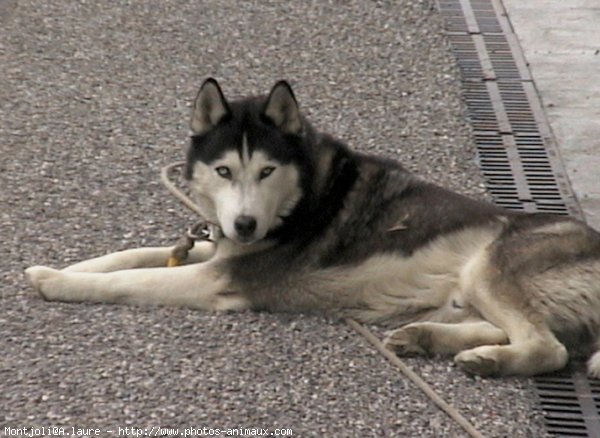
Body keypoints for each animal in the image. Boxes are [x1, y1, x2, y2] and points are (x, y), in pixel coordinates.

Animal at [25, 78, 600, 376]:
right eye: (225, 171)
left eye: (266, 171)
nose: (245, 224)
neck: (300, 199)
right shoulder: (217, 250)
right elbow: (133, 255)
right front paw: (64, 265)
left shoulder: (218, 279)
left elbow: (130, 280)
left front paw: (60, 282)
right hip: (470, 290)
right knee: (516, 329)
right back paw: (429, 339)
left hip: (489, 265)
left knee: (549, 347)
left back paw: (487, 360)